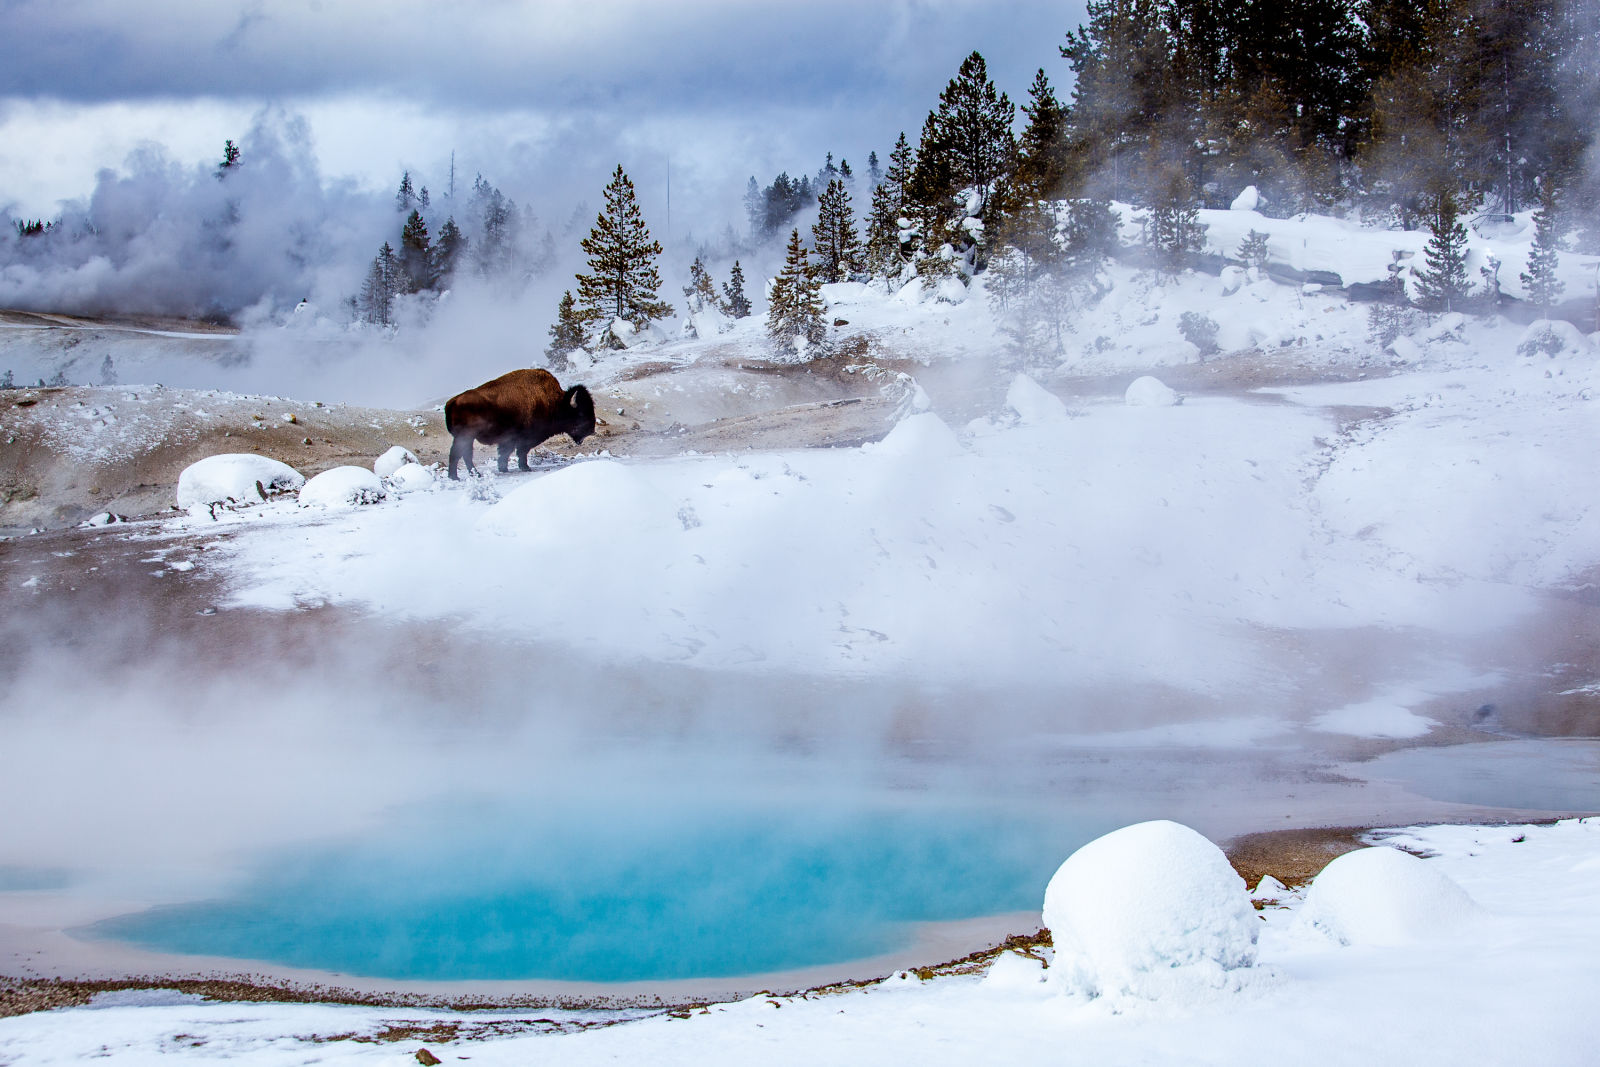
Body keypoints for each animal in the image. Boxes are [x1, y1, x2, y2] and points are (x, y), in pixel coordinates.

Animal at [441, 369, 598, 483]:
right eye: (581, 413)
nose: (591, 430)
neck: (555, 403)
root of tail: (452, 402)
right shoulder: (524, 438)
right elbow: (520, 451)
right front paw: (525, 467)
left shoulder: (509, 439)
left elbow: (505, 452)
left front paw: (503, 468)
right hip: (465, 437)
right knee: (457, 454)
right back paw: (457, 477)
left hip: (467, 438)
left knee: (465, 454)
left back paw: (474, 474)